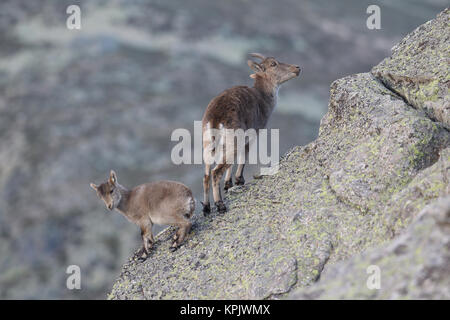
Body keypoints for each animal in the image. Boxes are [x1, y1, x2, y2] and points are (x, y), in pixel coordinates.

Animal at [201, 52, 300, 214]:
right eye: (273, 64)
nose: (297, 68)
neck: (262, 97)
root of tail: (215, 117)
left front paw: (228, 184)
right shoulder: (252, 133)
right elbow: (244, 155)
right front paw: (239, 180)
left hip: (208, 143)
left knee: (206, 174)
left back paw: (206, 207)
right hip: (233, 138)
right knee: (216, 172)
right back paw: (220, 205)